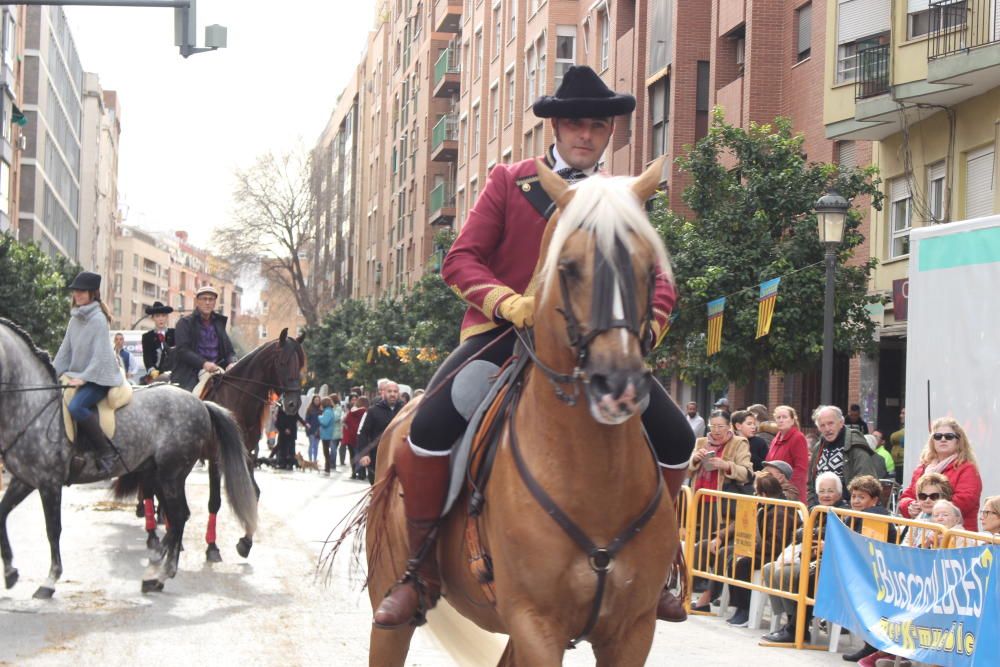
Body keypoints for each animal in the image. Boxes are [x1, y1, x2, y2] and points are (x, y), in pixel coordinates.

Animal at [0, 318, 258, 596]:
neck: (33, 405)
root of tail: (201, 404)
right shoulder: (24, 480)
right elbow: (2, 515)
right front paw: (10, 572)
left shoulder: (49, 483)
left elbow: (53, 530)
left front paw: (49, 581)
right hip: (161, 474)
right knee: (178, 517)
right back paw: (159, 573)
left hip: (171, 474)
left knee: (179, 517)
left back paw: (159, 570)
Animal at [133, 332, 304, 560]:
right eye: (283, 362)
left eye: (300, 364)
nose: (293, 404)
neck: (238, 402)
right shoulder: (216, 458)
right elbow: (214, 501)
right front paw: (212, 546)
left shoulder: (247, 455)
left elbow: (254, 492)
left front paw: (245, 542)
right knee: (151, 488)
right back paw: (153, 534)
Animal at [364, 159, 676, 664]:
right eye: (568, 267)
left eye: (651, 269)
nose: (619, 386)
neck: (593, 472)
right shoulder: (536, 625)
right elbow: (464, 255)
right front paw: (520, 306)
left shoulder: (632, 630)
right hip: (388, 601)